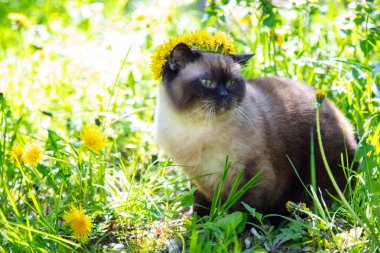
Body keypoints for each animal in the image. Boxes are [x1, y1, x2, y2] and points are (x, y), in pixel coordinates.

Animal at [153, 42, 358, 218]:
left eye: (231, 83)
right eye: (206, 82)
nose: (225, 95)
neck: (197, 130)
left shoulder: (254, 175)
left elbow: (245, 211)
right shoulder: (197, 177)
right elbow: (200, 203)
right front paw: (196, 220)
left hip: (313, 180)